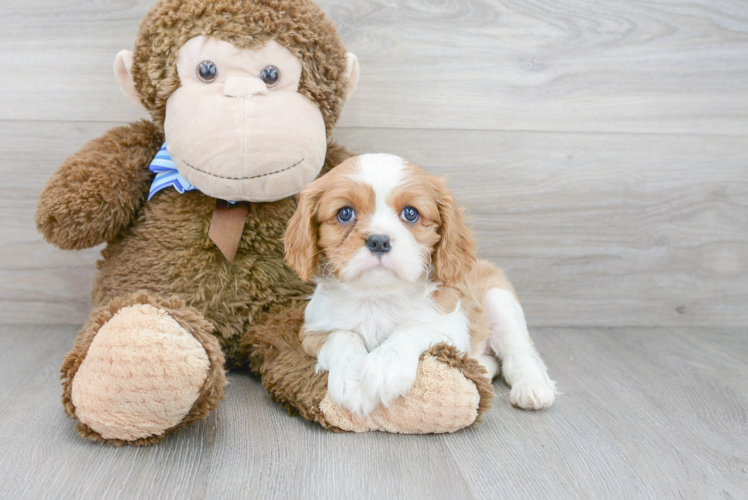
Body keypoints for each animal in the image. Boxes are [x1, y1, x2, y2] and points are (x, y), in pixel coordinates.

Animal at [284, 154, 556, 416]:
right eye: (345, 213)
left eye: (410, 213)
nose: (379, 241)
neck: (377, 297)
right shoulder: (312, 331)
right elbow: (342, 336)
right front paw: (351, 381)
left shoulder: (452, 329)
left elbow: (413, 328)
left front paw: (385, 368)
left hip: (500, 301)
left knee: (521, 354)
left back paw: (532, 387)